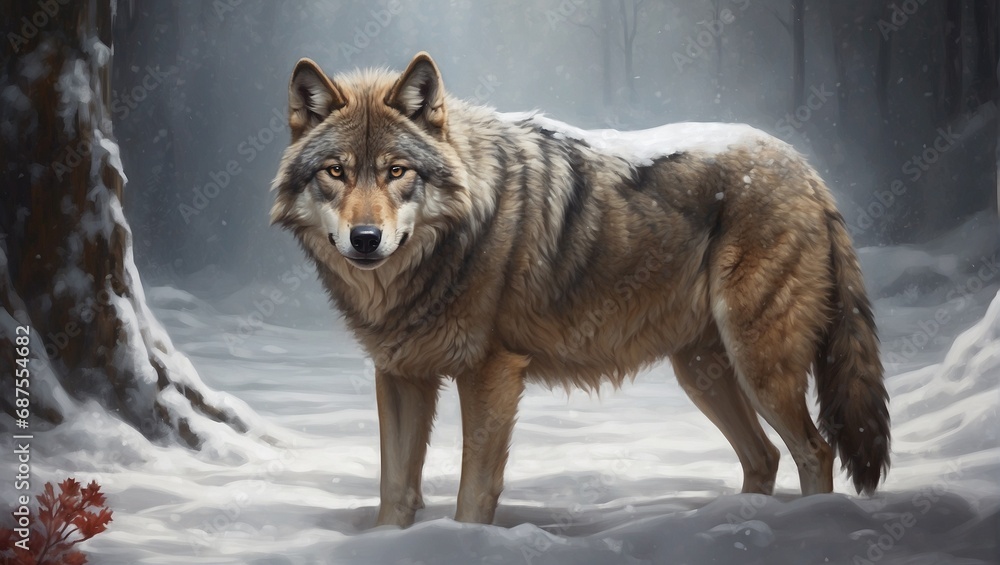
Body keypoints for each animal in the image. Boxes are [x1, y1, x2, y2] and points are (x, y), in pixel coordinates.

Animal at [270, 52, 890, 527]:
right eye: (336, 172)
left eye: (397, 172)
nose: (366, 239)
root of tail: (806, 168)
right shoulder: (400, 375)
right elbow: (394, 491)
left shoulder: (491, 373)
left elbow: (474, 494)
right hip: (702, 373)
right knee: (763, 457)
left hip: (760, 368)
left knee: (815, 450)